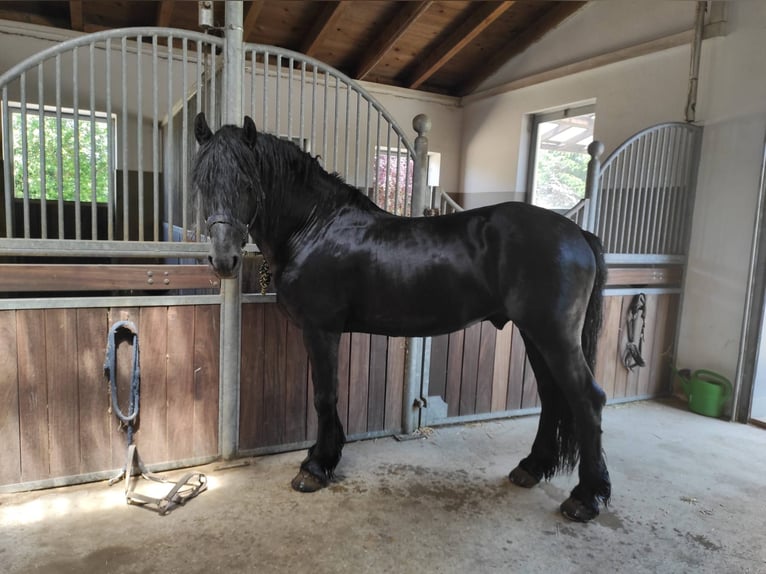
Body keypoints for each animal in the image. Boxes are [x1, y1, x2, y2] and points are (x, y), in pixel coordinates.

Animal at [192, 113, 611, 522]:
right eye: (201, 182)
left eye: (248, 183)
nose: (224, 260)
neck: (314, 227)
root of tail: (576, 232)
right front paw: (324, 456)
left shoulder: (321, 329)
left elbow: (325, 395)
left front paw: (315, 467)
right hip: (534, 334)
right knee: (553, 397)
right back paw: (531, 468)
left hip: (554, 335)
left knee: (586, 399)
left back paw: (585, 498)